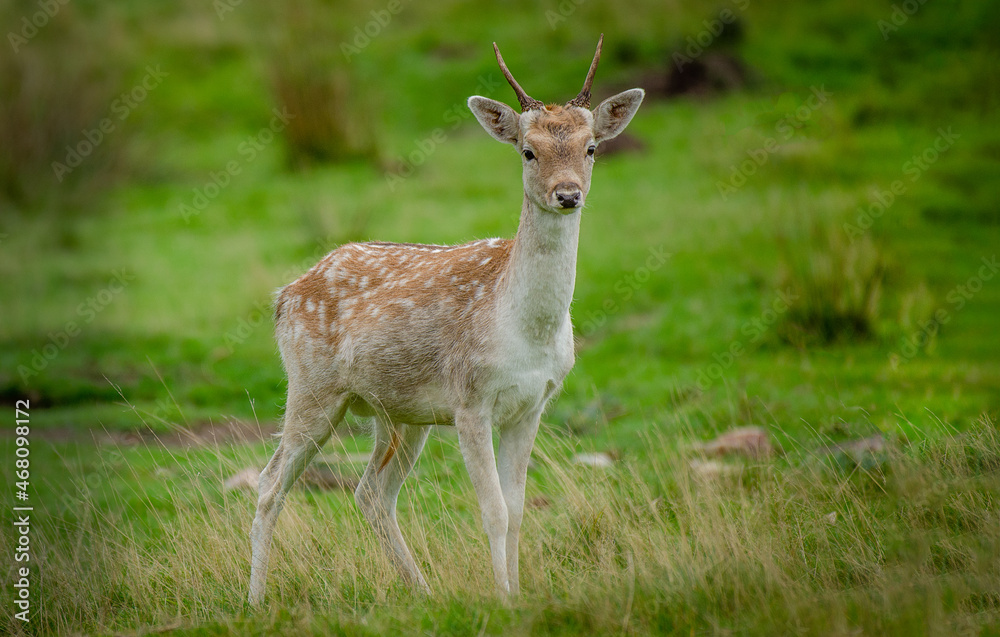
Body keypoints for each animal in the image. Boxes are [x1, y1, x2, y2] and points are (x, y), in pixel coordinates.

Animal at [246, 36, 644, 608]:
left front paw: (518, 592)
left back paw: (424, 592)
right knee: (270, 483)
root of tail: (285, 295)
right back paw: (255, 601)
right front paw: (504, 599)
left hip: (399, 414)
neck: (524, 330)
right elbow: (493, 510)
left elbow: (518, 509)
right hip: (311, 386)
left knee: (371, 492)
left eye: (591, 148)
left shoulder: (533, 404)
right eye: (527, 151)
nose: (568, 194)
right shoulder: (469, 400)